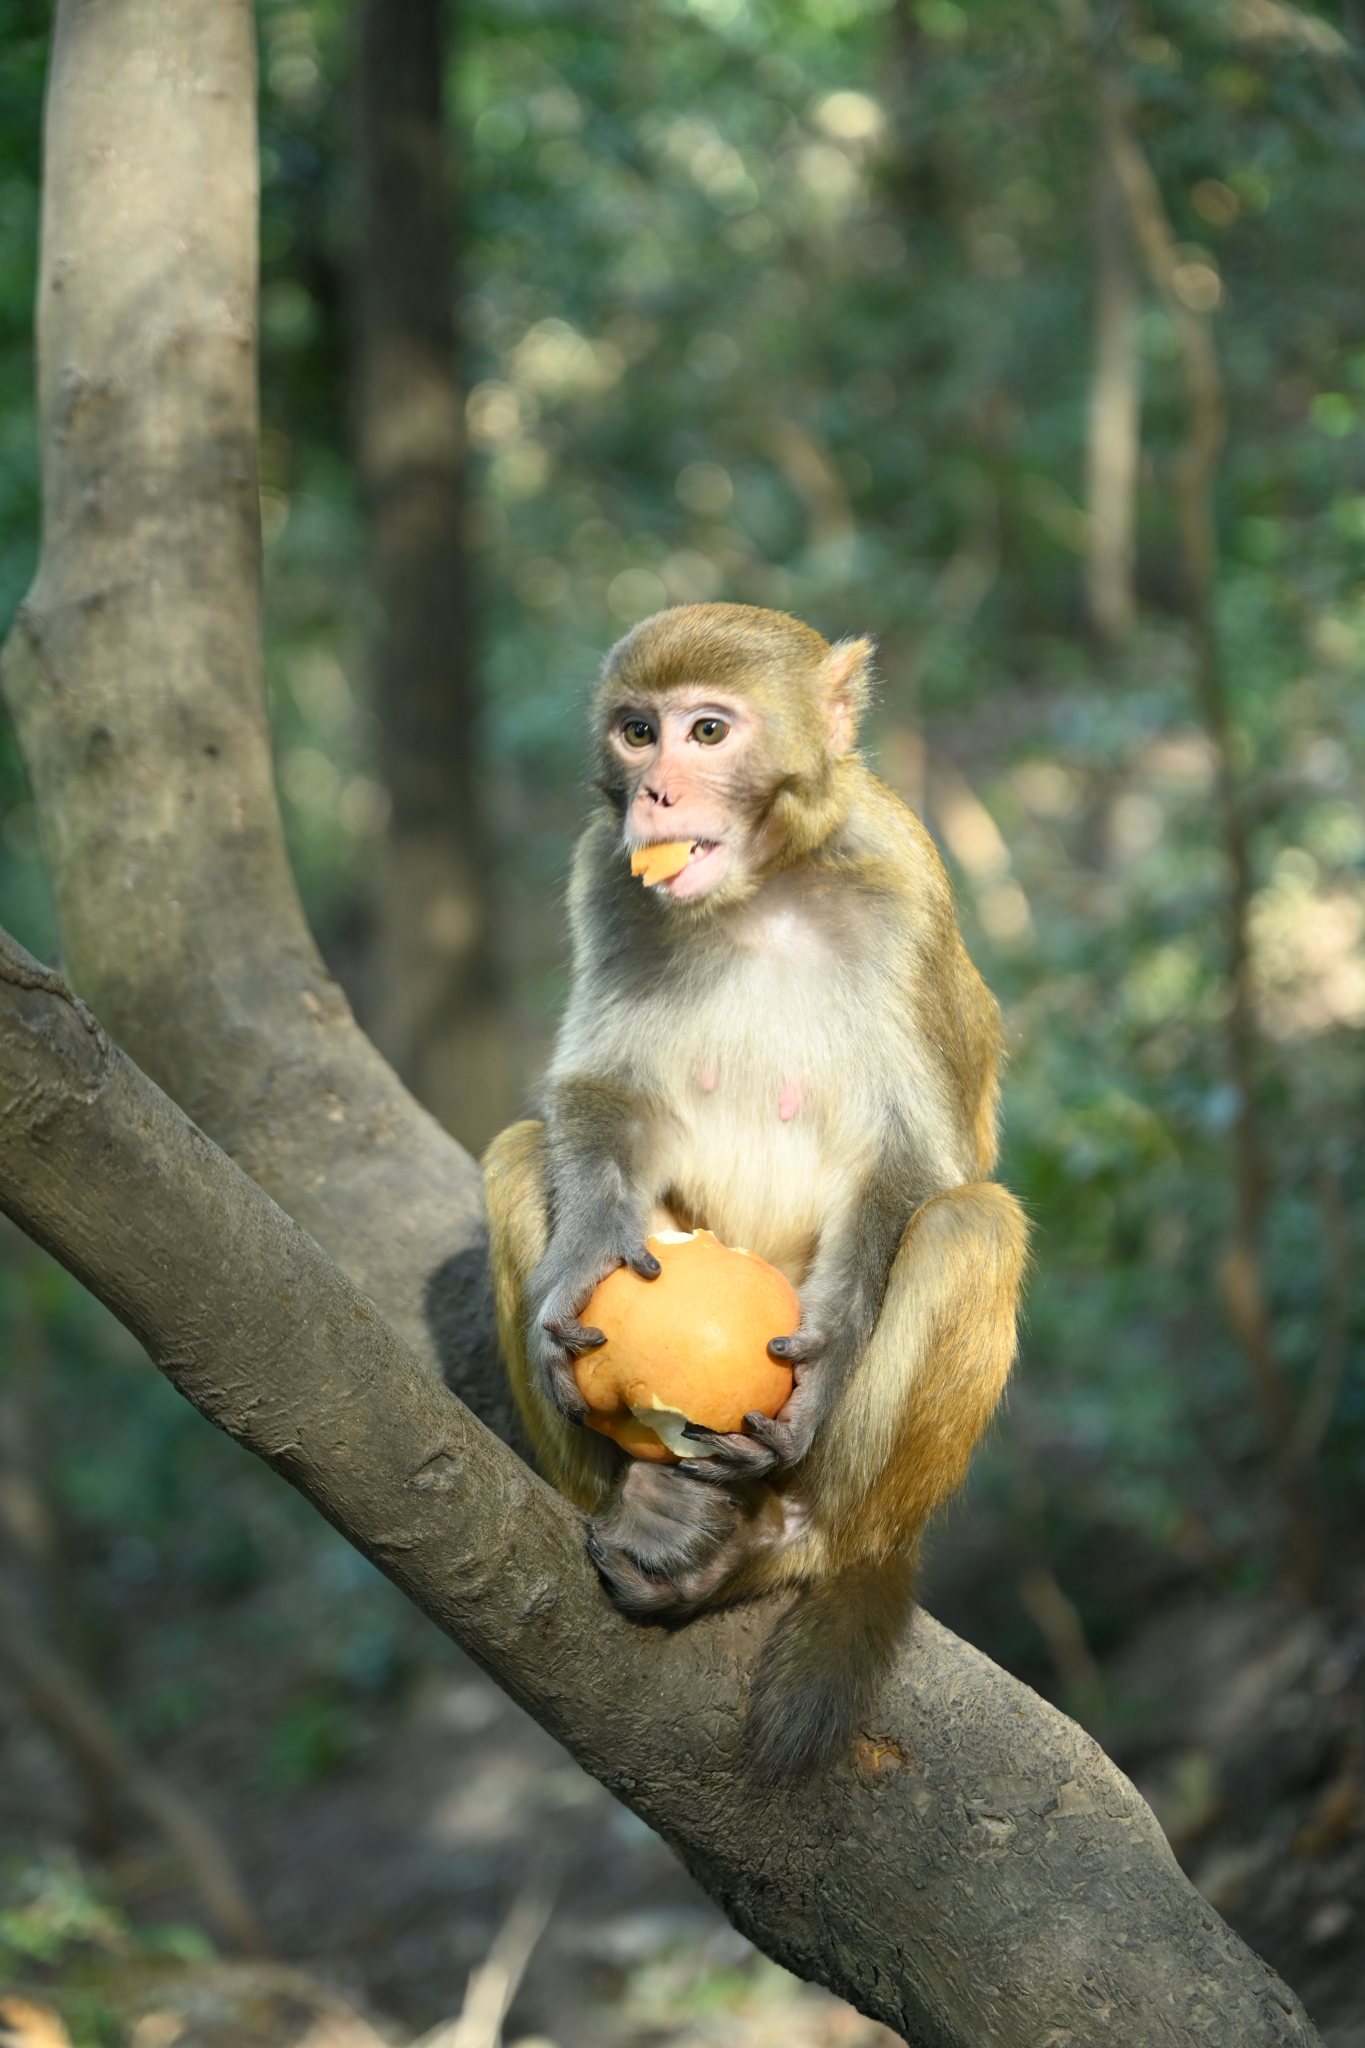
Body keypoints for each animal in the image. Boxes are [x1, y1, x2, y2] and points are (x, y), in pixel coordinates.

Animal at [480, 598, 1023, 1777]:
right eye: (638, 732)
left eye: (708, 732)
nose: (654, 793)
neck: (759, 894)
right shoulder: (605, 876)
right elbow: (598, 1091)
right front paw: (580, 1263)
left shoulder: (904, 889)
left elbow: (918, 1161)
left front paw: (822, 1361)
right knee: (515, 1151)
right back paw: (645, 1502)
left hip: (829, 1489)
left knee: (972, 1225)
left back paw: (792, 1542)